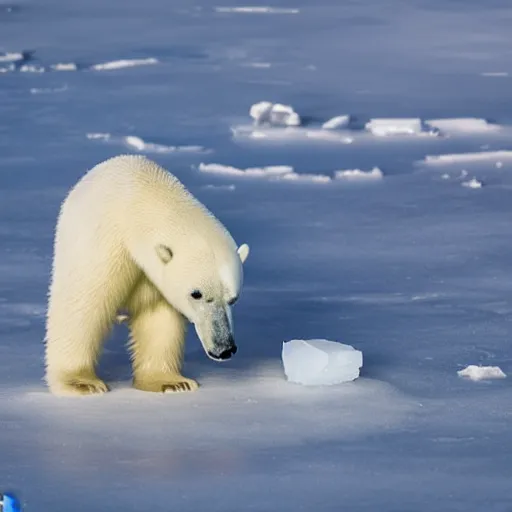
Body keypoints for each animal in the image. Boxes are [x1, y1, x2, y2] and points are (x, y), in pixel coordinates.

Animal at [45, 155, 249, 396]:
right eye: (196, 294)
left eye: (233, 299)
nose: (224, 348)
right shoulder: (102, 242)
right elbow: (83, 305)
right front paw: (82, 383)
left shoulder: (153, 277)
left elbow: (157, 318)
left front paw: (171, 382)